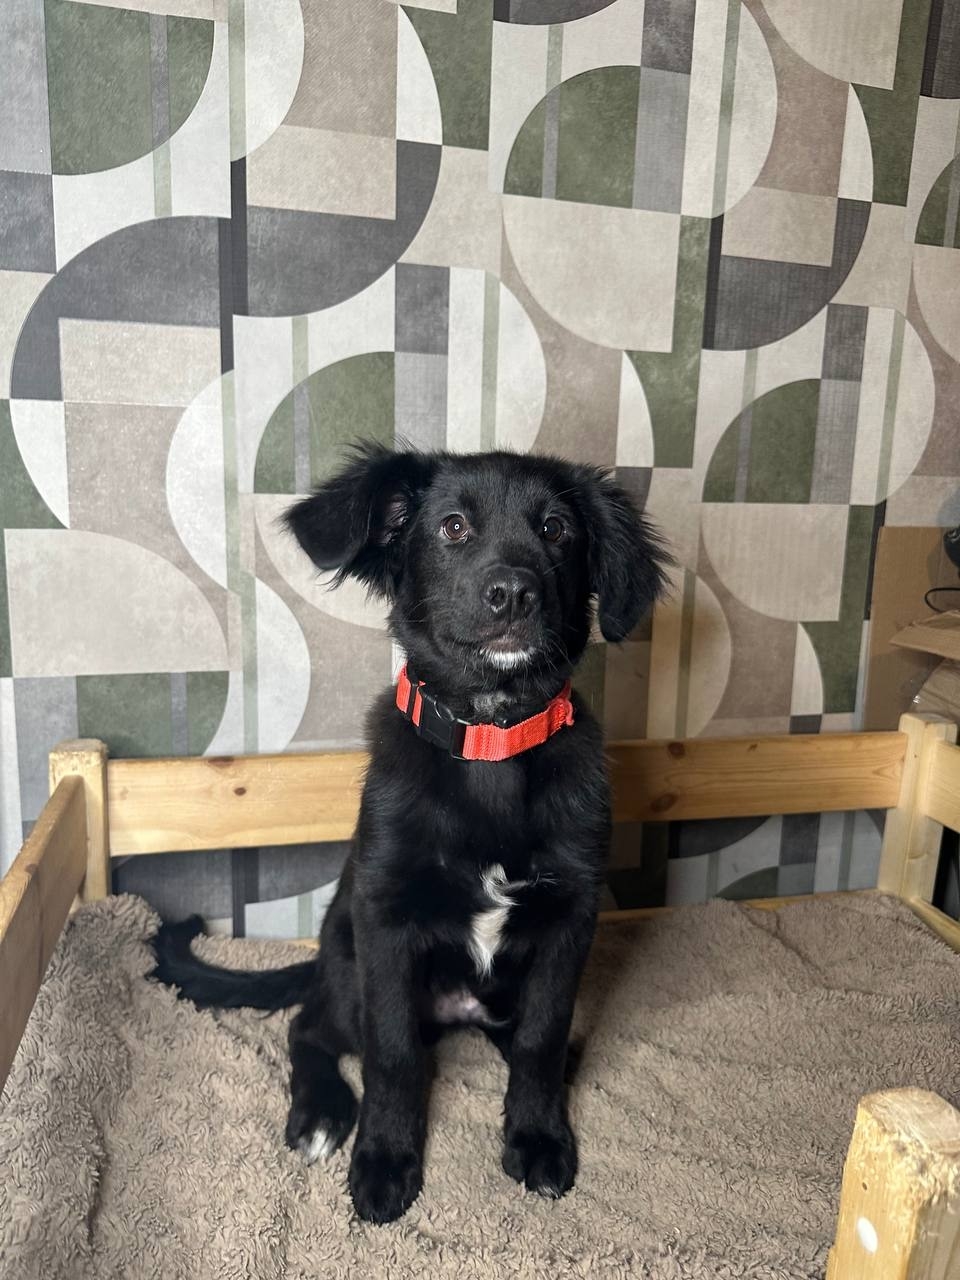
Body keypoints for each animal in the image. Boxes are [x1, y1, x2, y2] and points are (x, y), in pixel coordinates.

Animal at [152, 444, 668, 1223]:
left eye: (556, 530)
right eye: (453, 526)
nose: (513, 594)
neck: (490, 741)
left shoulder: (569, 919)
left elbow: (542, 1042)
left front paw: (538, 1137)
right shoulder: (386, 921)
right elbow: (393, 1054)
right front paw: (385, 1161)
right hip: (347, 960)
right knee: (311, 1027)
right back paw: (322, 1112)